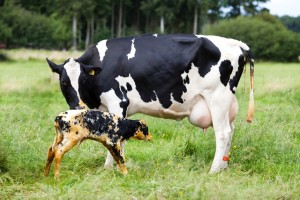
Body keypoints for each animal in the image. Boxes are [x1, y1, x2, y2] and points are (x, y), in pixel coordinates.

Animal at [46, 33, 253, 173]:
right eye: (63, 82)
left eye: (83, 80)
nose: (79, 106)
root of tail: (237, 43)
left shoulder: (117, 102)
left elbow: (114, 136)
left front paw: (110, 167)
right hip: (227, 104)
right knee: (231, 130)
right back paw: (223, 167)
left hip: (218, 98)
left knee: (223, 133)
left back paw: (213, 170)